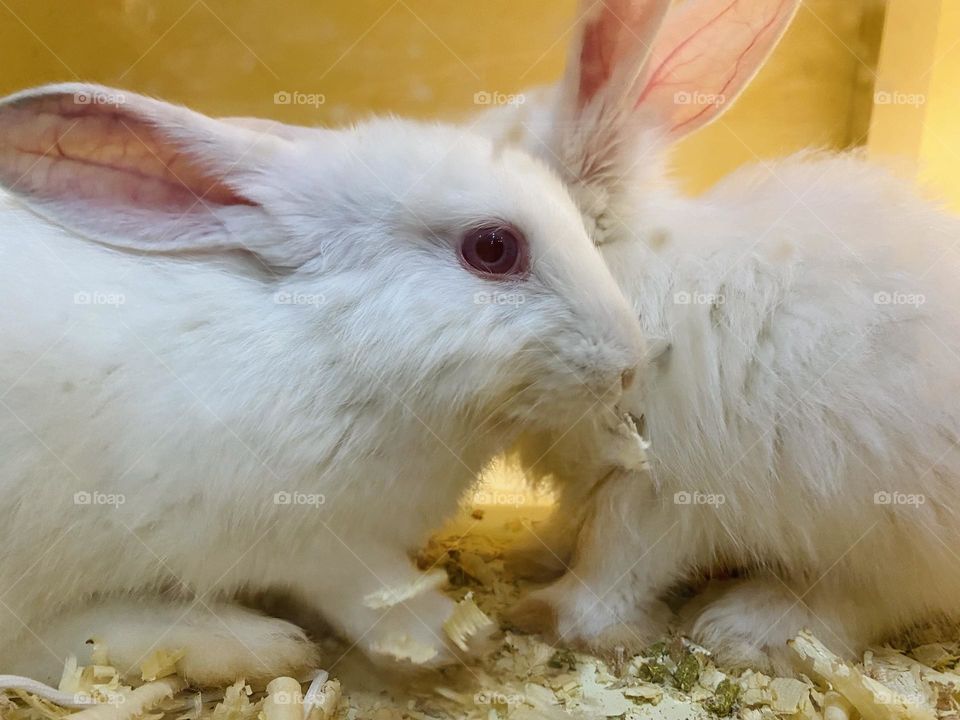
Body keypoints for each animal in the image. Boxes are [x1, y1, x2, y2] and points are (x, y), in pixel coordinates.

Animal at [0, 82, 647, 685]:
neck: (331, 340)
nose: (629, 363)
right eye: (492, 248)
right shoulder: (317, 537)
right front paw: (453, 637)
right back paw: (256, 646)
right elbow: (372, 589)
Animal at [473, 0, 960, 673]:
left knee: (867, 602)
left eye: (493, 244)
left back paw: (744, 627)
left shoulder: (654, 484)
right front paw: (530, 557)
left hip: (884, 525)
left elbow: (613, 559)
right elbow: (573, 529)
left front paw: (555, 617)